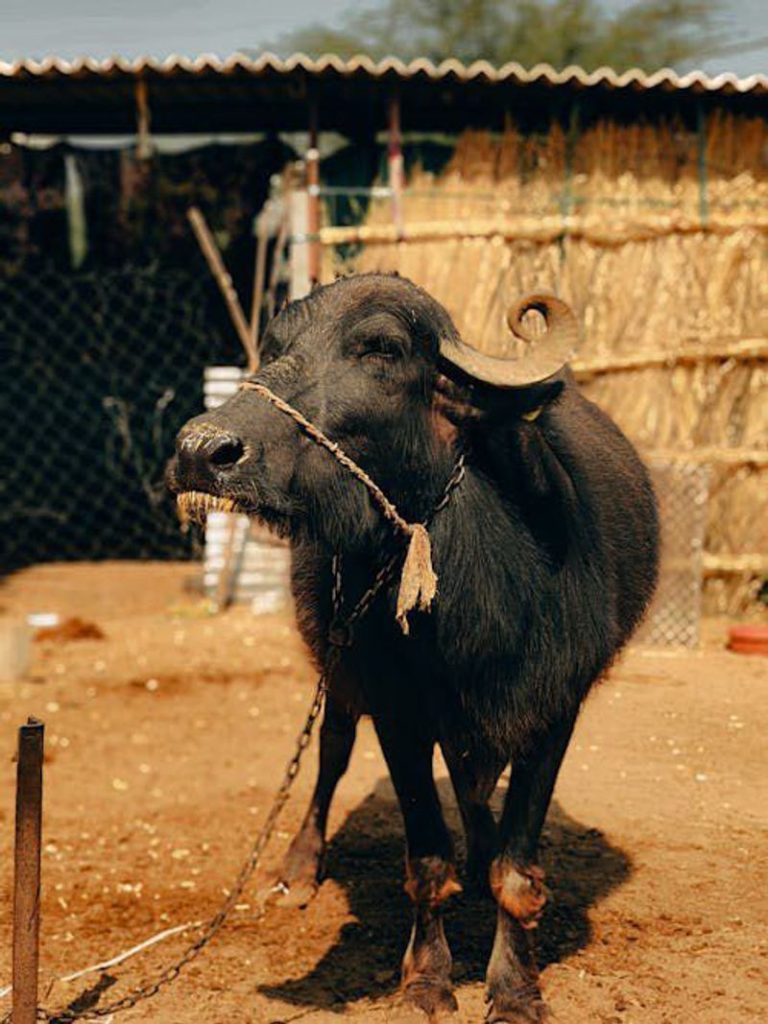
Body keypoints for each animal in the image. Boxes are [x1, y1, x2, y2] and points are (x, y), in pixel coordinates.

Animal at [167, 273, 659, 1022]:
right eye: (275, 345)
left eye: (381, 347)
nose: (202, 451)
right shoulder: (397, 709)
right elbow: (426, 860)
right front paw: (427, 981)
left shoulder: (555, 709)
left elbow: (517, 870)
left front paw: (515, 989)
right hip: (340, 674)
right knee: (332, 754)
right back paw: (298, 870)